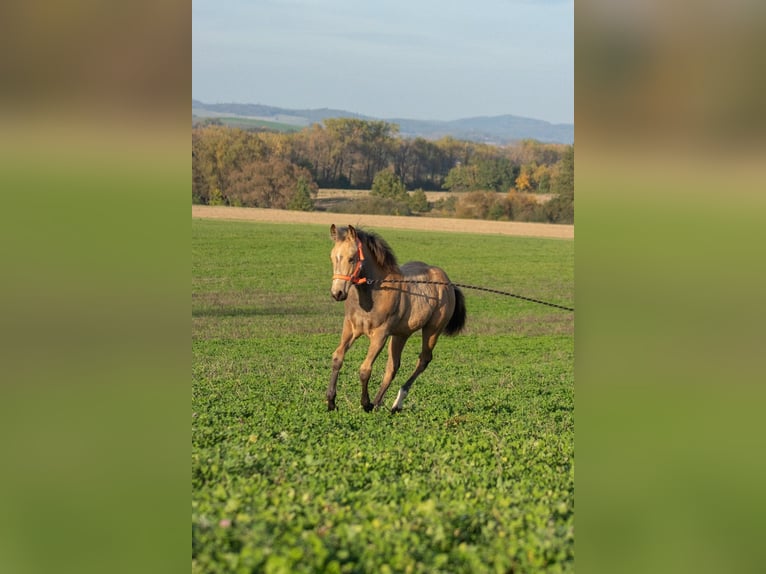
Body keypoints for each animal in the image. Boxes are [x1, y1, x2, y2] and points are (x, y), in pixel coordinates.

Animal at [326, 225, 464, 414]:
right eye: (333, 257)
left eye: (352, 258)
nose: (337, 293)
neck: (372, 294)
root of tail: (448, 283)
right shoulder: (350, 328)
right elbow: (337, 358)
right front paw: (331, 401)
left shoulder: (380, 334)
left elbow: (365, 369)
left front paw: (365, 404)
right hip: (401, 334)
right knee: (393, 367)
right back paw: (379, 403)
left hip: (432, 330)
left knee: (423, 360)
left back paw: (395, 402)